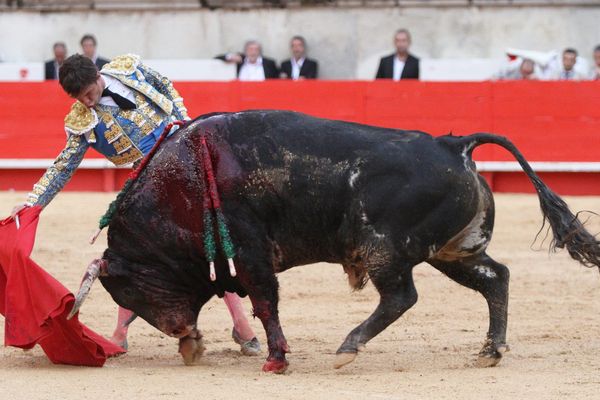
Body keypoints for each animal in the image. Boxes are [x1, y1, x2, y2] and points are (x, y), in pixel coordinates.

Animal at [69, 108, 596, 372]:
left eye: (128, 288)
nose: (183, 336)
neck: (183, 185)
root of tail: (453, 145)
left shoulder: (251, 250)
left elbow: (265, 301)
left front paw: (276, 360)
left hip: (385, 248)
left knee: (402, 296)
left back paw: (349, 347)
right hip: (452, 249)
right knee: (495, 278)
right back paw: (490, 351)